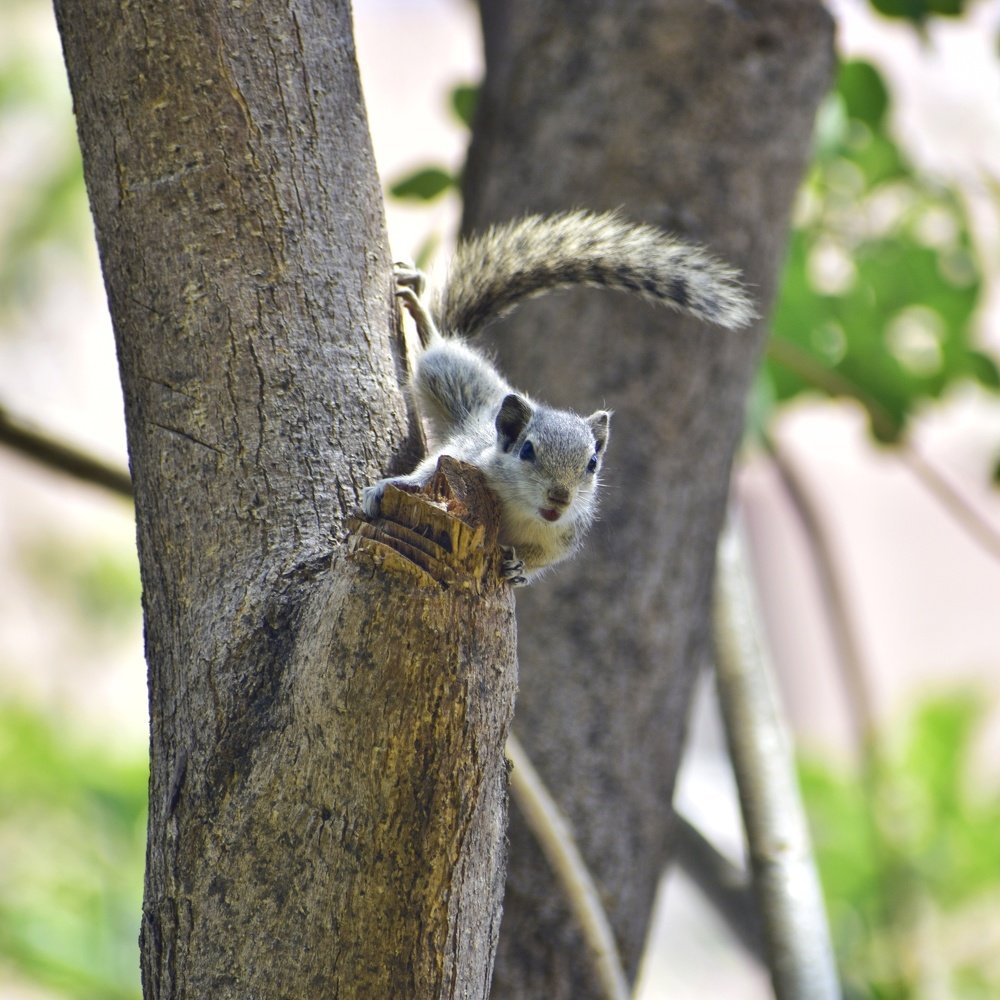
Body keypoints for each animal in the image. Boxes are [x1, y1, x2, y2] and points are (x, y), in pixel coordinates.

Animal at [362, 210, 755, 585]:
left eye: (592, 464)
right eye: (526, 451)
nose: (560, 498)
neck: (522, 510)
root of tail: (494, 400)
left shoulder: (562, 537)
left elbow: (542, 560)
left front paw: (519, 568)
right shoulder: (466, 458)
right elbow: (429, 470)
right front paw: (389, 487)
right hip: (448, 374)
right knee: (436, 349)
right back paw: (420, 309)